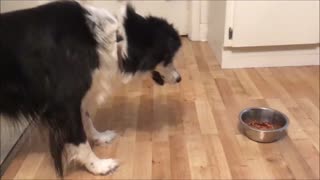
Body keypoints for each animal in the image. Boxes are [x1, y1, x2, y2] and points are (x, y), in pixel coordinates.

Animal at [0, 0, 181, 176]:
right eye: (168, 57)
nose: (179, 78)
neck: (114, 40)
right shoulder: (64, 103)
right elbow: (79, 139)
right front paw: (98, 166)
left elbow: (86, 118)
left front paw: (99, 137)